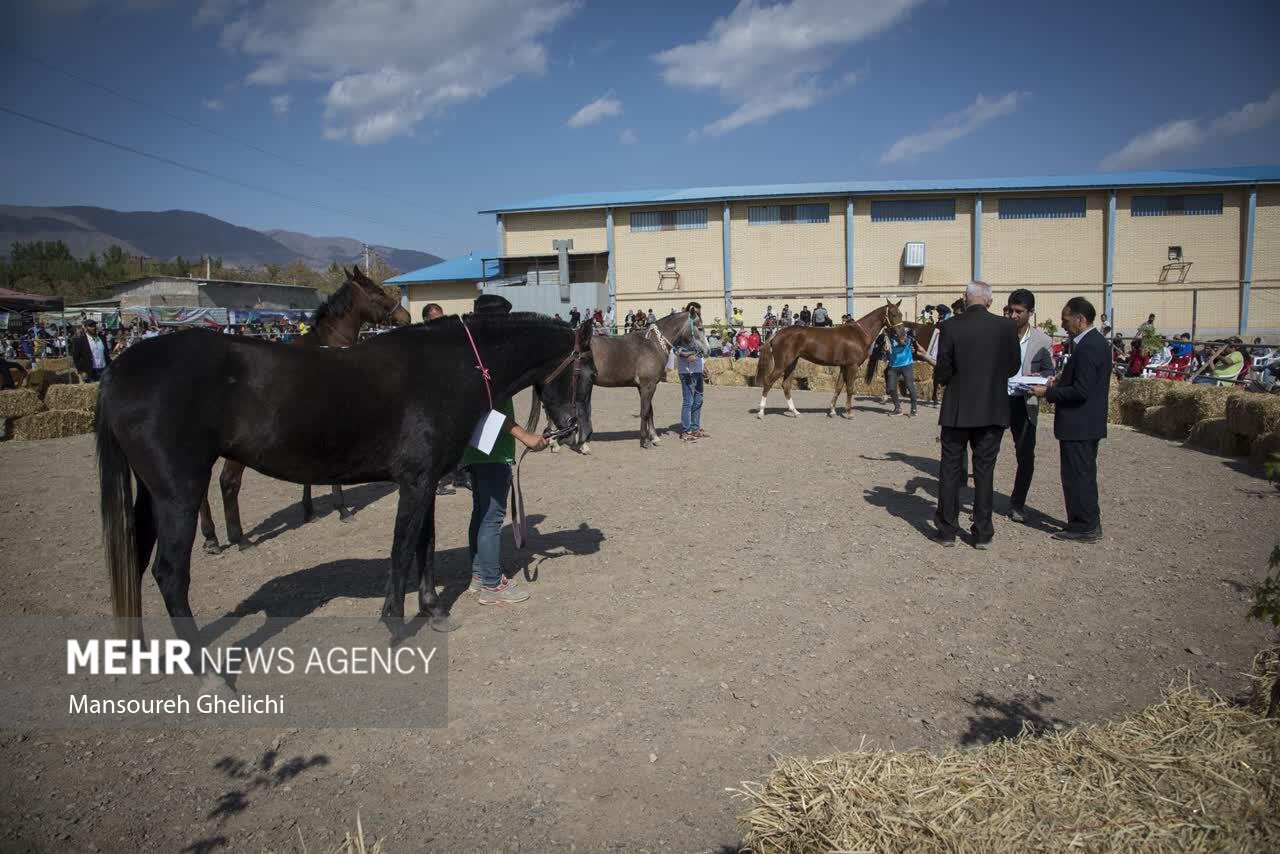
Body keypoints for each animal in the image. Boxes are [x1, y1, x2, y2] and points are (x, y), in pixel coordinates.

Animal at [96, 311, 593, 645]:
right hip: (177, 493)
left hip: (151, 495)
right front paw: (395, 621)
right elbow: (401, 547)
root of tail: (119, 369)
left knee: (138, 561)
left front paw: (433, 610)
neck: (449, 369)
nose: (578, 433)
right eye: (586, 372)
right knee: (169, 574)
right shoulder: (416, 481)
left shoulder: (426, 480)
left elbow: (425, 543)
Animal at [194, 270, 409, 558]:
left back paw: (211, 539)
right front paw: (342, 510)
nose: (404, 317)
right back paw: (240, 539)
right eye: (379, 293)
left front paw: (309, 511)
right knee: (228, 482)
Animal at [552, 308, 711, 453]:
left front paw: (654, 438)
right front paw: (645, 441)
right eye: (700, 328)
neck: (652, 344)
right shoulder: (648, 386)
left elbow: (650, 411)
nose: (707, 351)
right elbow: (645, 412)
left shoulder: (644, 387)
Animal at [752, 300, 906, 419]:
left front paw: (832, 411)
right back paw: (761, 412)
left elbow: (838, 387)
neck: (858, 335)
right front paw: (849, 413)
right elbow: (850, 388)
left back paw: (795, 412)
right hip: (782, 364)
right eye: (893, 314)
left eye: (901, 314)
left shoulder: (844, 366)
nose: (902, 336)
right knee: (768, 382)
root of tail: (777, 334)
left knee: (786, 385)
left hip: (791, 363)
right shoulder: (852, 366)